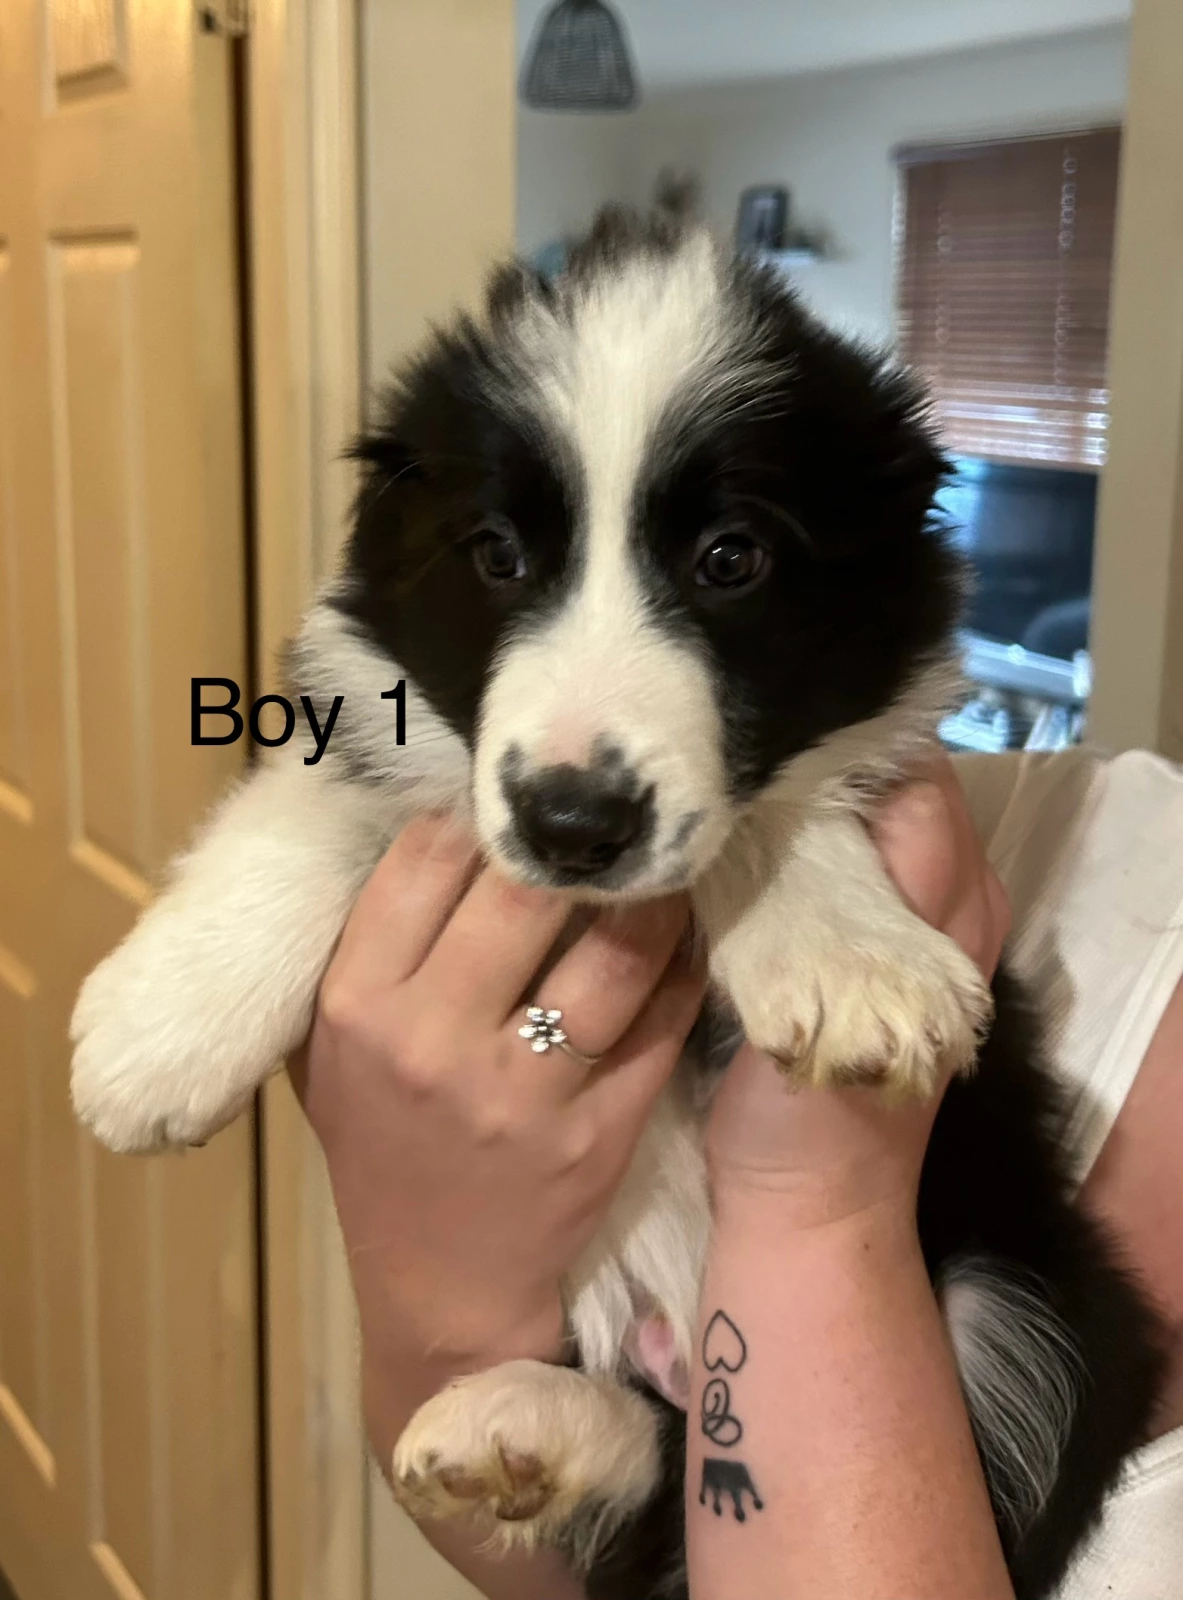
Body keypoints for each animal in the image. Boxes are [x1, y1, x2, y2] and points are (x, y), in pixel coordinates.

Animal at [70, 207, 1166, 1599]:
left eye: (731, 557)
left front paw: (851, 963)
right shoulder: (391, 719)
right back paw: (519, 1428)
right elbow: (320, 801)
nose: (571, 823)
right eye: (495, 554)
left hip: (1038, 1304)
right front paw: (155, 1033)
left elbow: (786, 799)